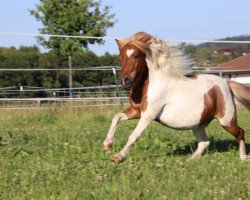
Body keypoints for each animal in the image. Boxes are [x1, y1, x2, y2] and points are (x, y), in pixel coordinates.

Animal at [102, 31, 249, 162]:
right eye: (120, 58)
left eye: (137, 55)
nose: (124, 80)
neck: (151, 84)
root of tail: (226, 83)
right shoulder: (136, 111)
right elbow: (116, 117)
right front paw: (107, 144)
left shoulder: (148, 114)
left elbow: (134, 135)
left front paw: (118, 157)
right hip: (198, 124)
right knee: (204, 142)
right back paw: (189, 160)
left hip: (226, 120)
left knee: (240, 133)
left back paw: (243, 158)